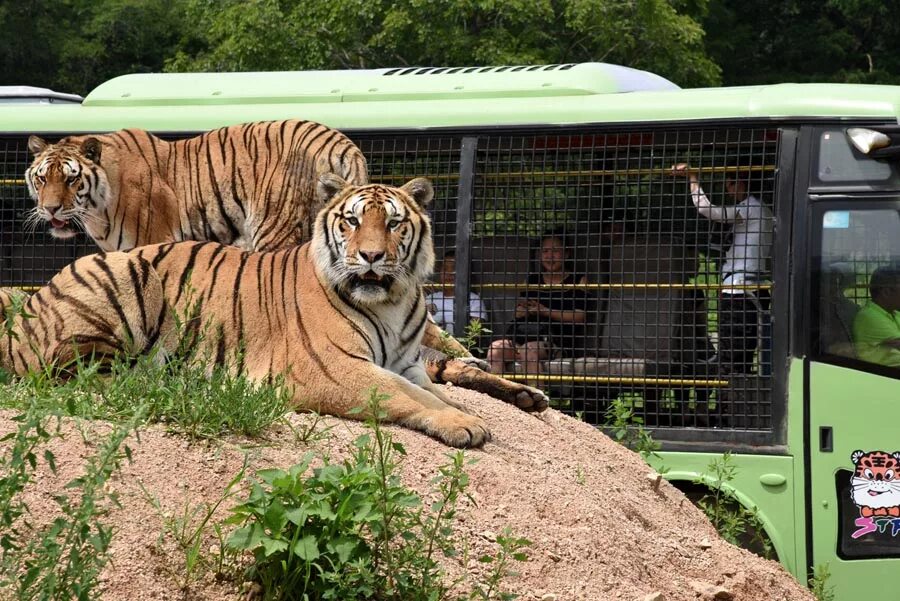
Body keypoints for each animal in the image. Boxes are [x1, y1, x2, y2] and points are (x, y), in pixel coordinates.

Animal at [0, 176, 548, 447]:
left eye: (393, 224)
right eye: (352, 222)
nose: (372, 256)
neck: (393, 299)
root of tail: (31, 302)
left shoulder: (409, 363)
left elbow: (439, 389)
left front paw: (477, 409)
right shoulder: (333, 367)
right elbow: (406, 396)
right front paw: (464, 425)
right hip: (125, 277)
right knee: (77, 376)